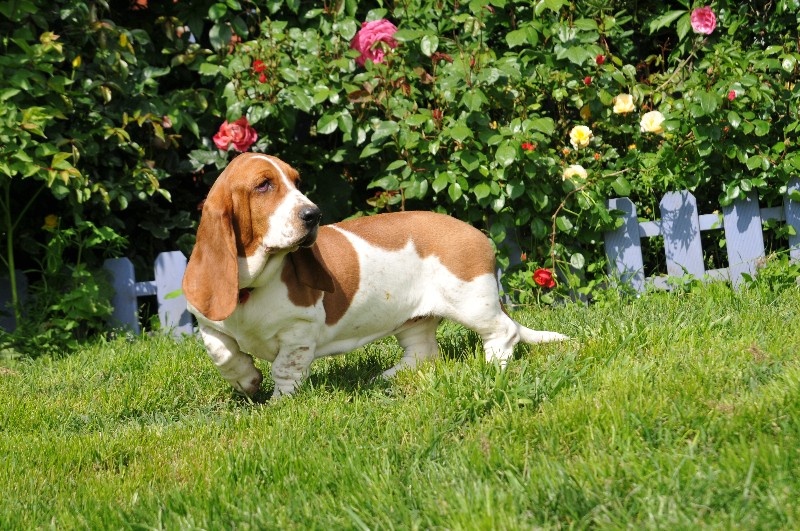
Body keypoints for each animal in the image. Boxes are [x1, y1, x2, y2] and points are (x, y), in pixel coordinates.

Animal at [182, 153, 568, 398]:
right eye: (263, 185)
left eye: (296, 181)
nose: (313, 214)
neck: (253, 283)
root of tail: (479, 236)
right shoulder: (208, 324)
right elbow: (222, 352)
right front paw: (246, 381)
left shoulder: (299, 331)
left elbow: (285, 369)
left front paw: (279, 404)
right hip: (414, 319)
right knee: (424, 353)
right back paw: (384, 378)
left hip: (471, 302)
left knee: (503, 332)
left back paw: (491, 368)